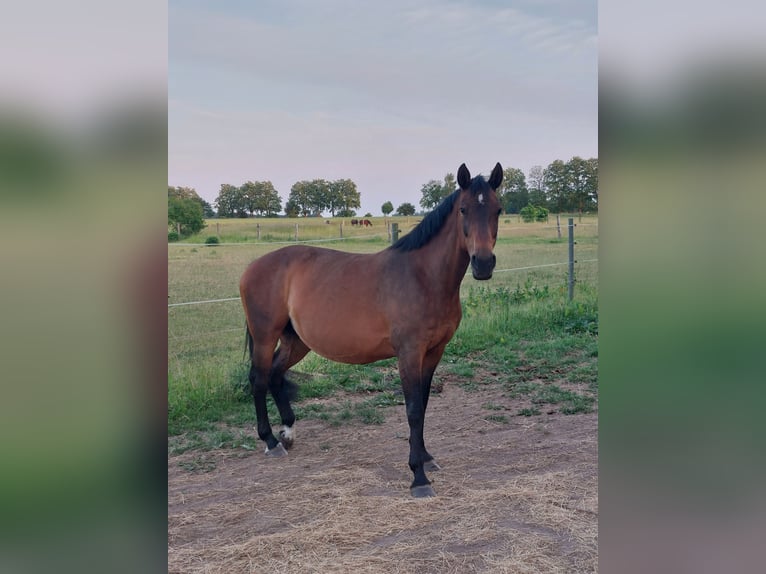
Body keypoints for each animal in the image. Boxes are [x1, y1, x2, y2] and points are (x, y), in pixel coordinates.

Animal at [240, 162, 503, 497]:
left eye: (498, 209)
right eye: (463, 209)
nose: (483, 264)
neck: (423, 278)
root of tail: (253, 267)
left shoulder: (434, 352)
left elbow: (424, 405)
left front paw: (426, 458)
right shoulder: (408, 353)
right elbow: (413, 409)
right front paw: (418, 478)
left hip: (296, 341)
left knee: (274, 374)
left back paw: (287, 432)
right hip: (264, 336)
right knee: (259, 379)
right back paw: (271, 441)